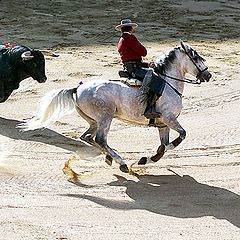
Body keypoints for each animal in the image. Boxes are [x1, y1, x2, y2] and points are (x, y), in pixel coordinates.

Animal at [19, 41, 213, 172]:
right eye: (195, 56)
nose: (208, 75)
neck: (168, 82)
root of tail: (77, 88)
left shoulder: (162, 124)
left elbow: (163, 146)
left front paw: (145, 160)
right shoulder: (169, 118)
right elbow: (180, 136)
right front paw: (146, 158)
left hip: (94, 121)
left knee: (87, 137)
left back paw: (111, 158)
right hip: (105, 118)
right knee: (99, 139)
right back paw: (122, 162)